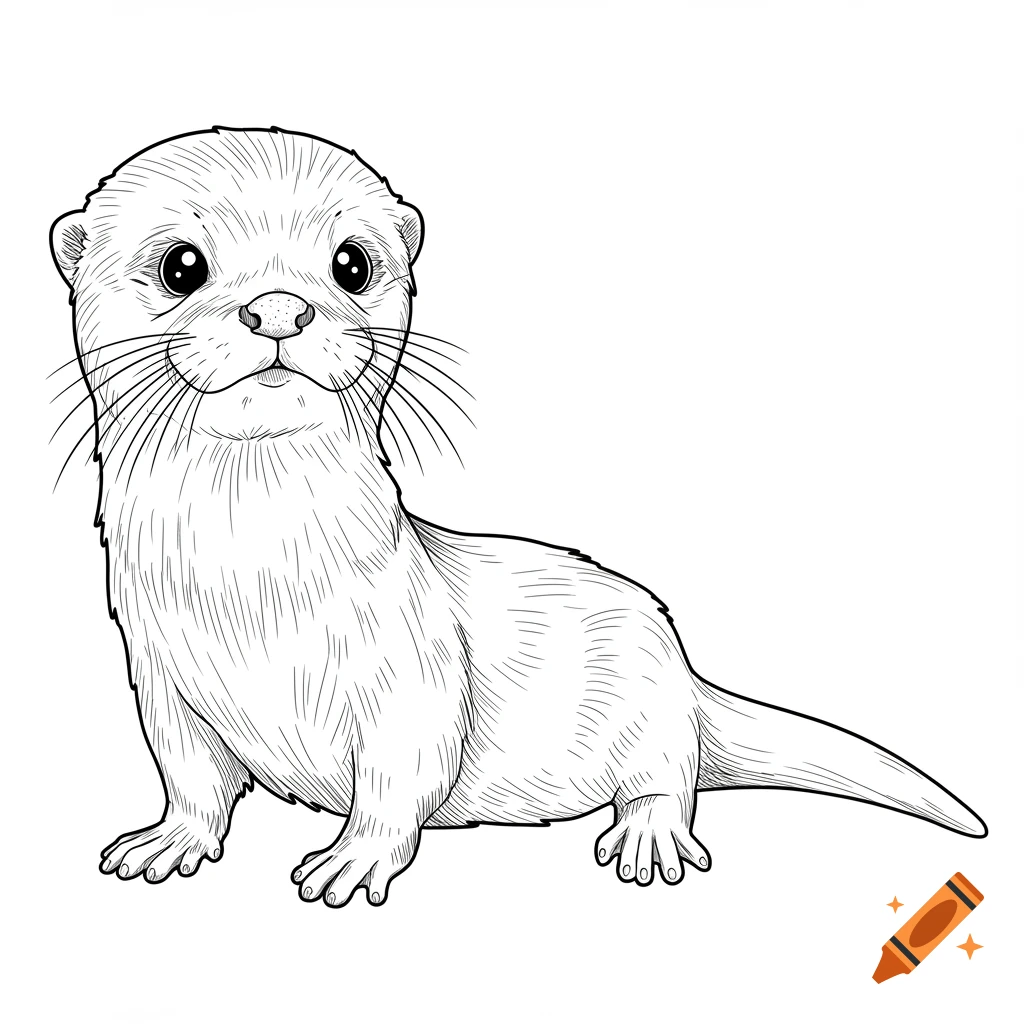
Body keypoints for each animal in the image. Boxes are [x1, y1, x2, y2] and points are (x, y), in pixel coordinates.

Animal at [50, 128, 985, 908]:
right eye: (181, 265)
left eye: (351, 263)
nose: (279, 308)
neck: (252, 590)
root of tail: (690, 678)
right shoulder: (162, 675)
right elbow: (192, 779)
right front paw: (168, 842)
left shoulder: (411, 671)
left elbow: (398, 776)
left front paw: (353, 859)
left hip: (649, 693)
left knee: (668, 774)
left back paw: (648, 836)